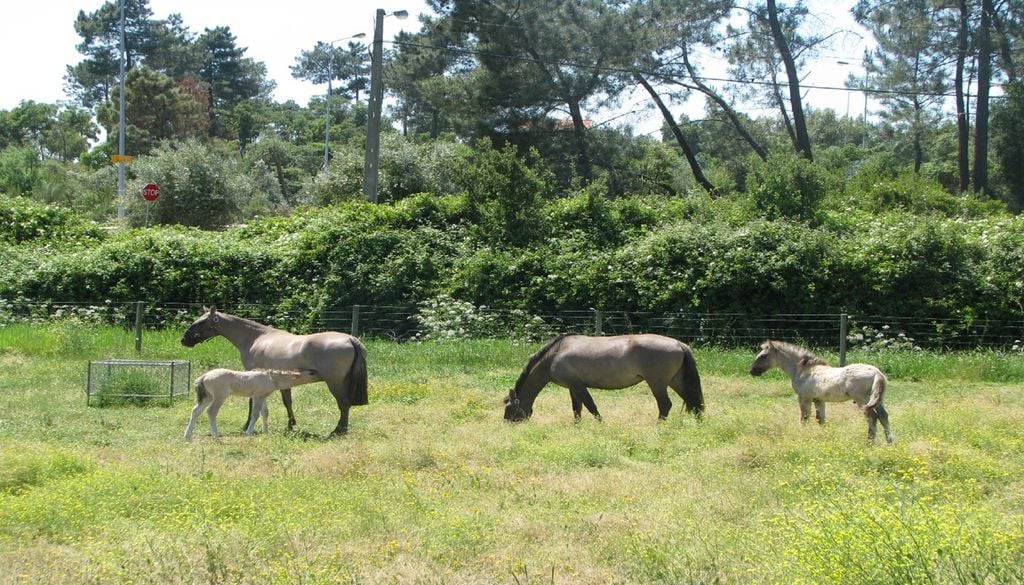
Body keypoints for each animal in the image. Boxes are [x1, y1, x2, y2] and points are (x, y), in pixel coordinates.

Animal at [184, 368, 323, 440]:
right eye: (312, 373)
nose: (322, 376)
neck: (272, 378)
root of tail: (203, 376)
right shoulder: (257, 396)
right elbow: (255, 414)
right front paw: (249, 433)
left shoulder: (263, 397)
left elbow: (265, 412)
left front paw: (265, 431)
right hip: (219, 396)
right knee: (211, 412)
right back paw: (216, 435)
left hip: (207, 396)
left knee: (195, 411)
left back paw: (187, 435)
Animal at [503, 334, 704, 422]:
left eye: (509, 408)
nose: (507, 423)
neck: (555, 355)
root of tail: (679, 344)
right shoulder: (573, 387)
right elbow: (577, 409)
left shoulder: (577, 386)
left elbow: (591, 407)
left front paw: (601, 423)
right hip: (676, 381)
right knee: (694, 402)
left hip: (658, 383)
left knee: (665, 405)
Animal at [749, 340, 894, 443]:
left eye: (763, 356)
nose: (752, 371)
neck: (803, 370)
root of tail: (877, 373)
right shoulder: (819, 399)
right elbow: (821, 419)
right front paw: (825, 437)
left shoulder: (804, 398)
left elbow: (804, 417)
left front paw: (801, 434)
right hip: (878, 399)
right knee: (883, 416)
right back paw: (890, 442)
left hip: (862, 400)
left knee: (872, 417)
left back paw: (870, 442)